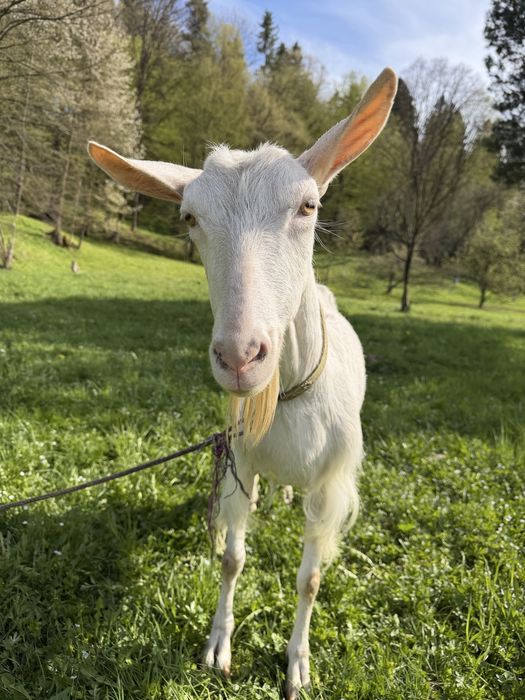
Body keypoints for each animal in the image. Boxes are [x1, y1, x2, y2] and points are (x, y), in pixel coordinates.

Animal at [88, 66, 397, 698]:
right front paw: (218, 647)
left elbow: (310, 579)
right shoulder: (241, 459)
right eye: (189, 218)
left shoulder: (332, 480)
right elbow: (232, 559)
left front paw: (297, 666)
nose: (239, 355)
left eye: (308, 204)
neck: (293, 396)